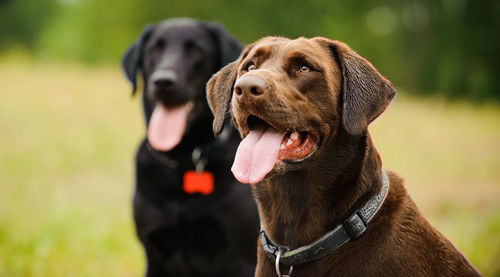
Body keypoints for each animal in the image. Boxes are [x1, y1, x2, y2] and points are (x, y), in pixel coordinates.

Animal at [121, 17, 258, 276]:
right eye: (154, 50)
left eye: (196, 50)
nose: (163, 81)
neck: (183, 159)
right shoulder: (154, 253)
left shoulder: (242, 256)